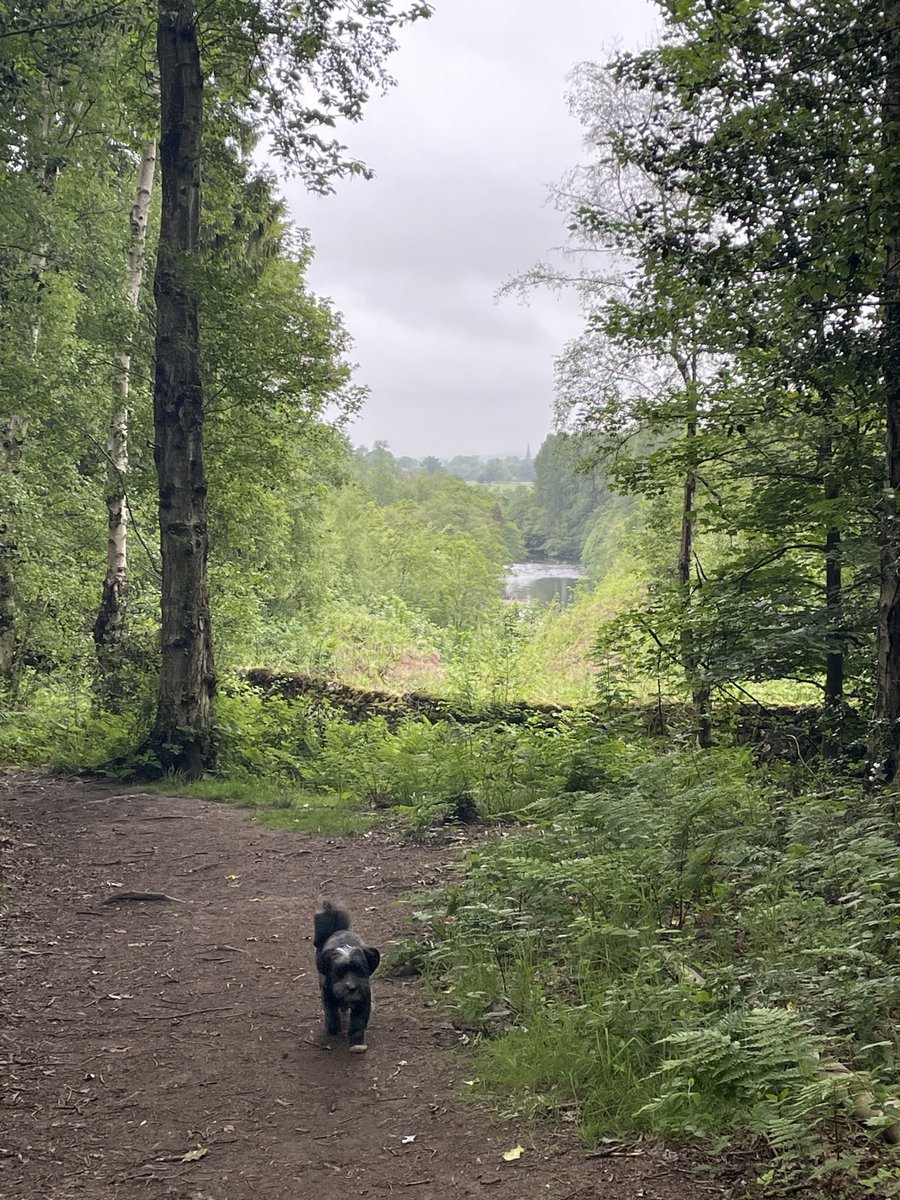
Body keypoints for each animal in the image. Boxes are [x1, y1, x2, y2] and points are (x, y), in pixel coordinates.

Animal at [314, 897, 381, 1056]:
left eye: (360, 970)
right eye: (339, 972)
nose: (351, 987)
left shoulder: (363, 1000)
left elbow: (358, 1022)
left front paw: (356, 1039)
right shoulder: (328, 995)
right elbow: (332, 1013)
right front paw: (333, 1028)